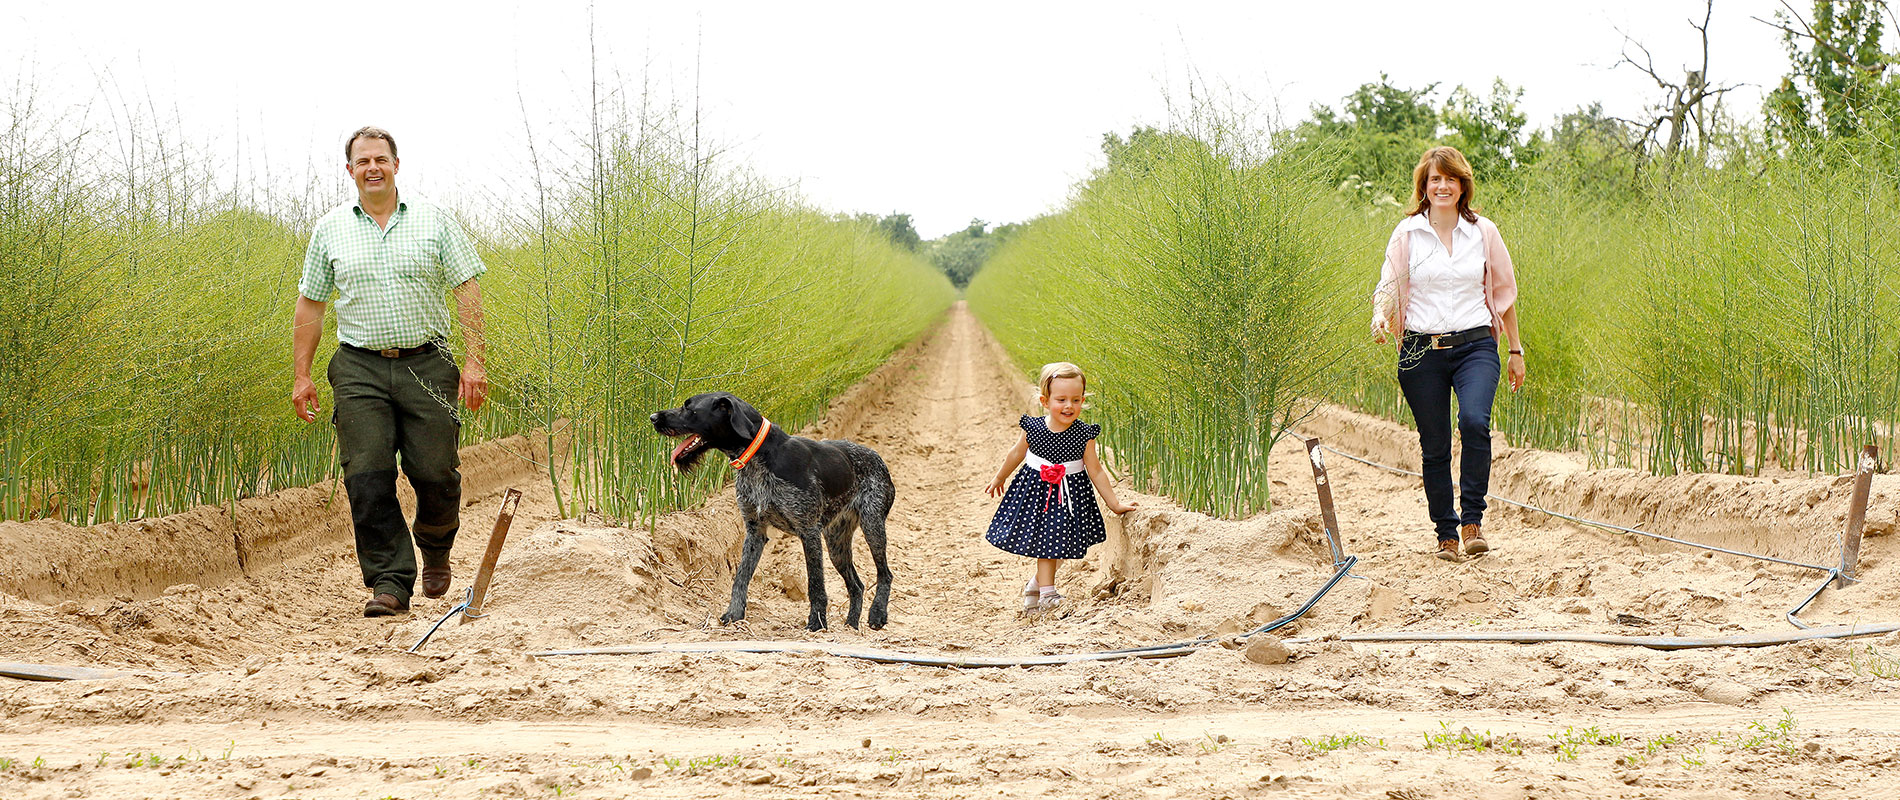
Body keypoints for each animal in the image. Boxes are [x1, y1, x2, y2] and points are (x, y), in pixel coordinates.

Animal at [649, 393, 893, 630]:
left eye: (688, 408)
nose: (652, 417)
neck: (758, 458)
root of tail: (878, 458)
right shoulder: (755, 531)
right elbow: (740, 577)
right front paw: (734, 615)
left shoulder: (809, 532)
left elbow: (815, 584)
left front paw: (817, 623)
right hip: (836, 543)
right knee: (857, 586)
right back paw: (851, 626)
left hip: (872, 526)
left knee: (885, 574)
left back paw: (877, 614)